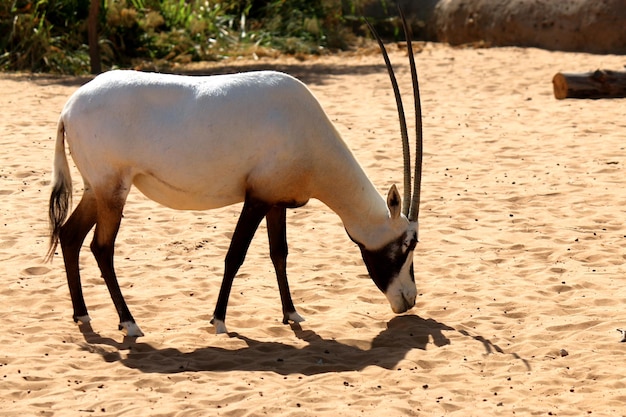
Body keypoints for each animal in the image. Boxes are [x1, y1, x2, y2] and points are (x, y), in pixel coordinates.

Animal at [46, 14, 422, 336]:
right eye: (407, 245)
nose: (408, 299)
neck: (304, 127)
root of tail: (67, 109)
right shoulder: (256, 199)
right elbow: (235, 255)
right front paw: (219, 320)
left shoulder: (276, 200)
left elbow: (279, 253)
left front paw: (291, 313)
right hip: (113, 190)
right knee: (101, 247)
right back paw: (130, 323)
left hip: (96, 190)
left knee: (70, 236)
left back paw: (82, 315)